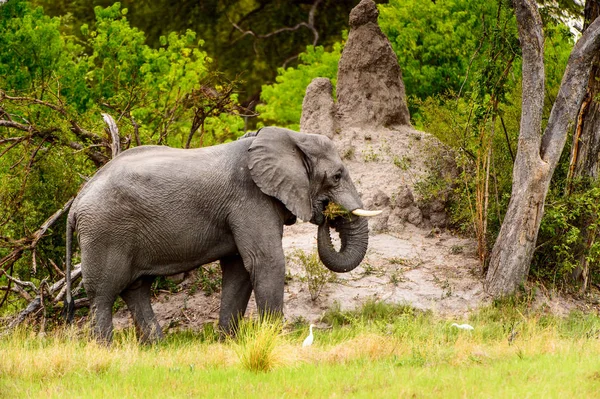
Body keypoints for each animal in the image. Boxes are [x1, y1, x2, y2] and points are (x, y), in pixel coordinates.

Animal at [63, 126, 378, 342]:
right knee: (104, 295)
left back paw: (156, 348)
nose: (327, 213)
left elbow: (239, 270)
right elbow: (266, 262)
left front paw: (230, 342)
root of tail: (75, 204)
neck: (290, 138)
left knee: (135, 289)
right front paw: (275, 339)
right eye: (336, 176)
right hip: (104, 233)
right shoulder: (250, 198)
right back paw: (106, 349)